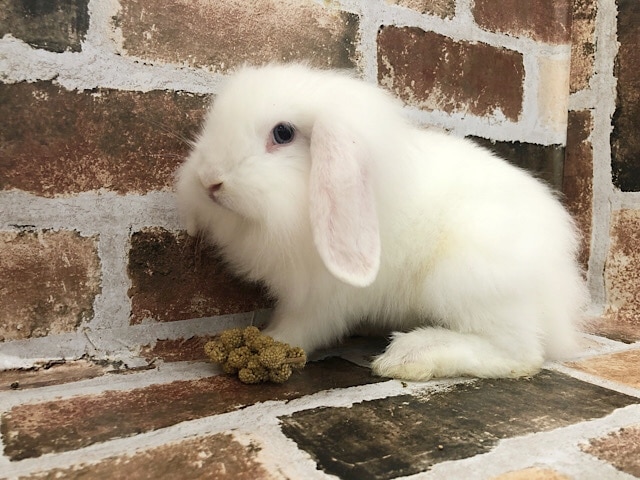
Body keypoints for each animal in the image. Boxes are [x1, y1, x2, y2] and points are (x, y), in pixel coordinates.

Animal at [174, 63, 584, 380]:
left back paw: (409, 356)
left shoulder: (324, 295)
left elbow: (304, 325)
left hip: (467, 279)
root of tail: (560, 283)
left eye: (283, 133)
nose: (209, 181)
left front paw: (273, 341)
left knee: (520, 354)